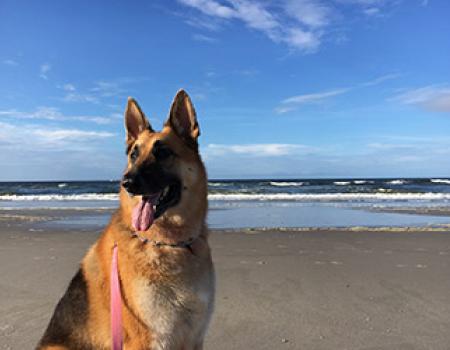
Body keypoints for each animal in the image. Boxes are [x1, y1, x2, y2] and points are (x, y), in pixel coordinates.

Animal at [36, 91, 215, 350]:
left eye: (163, 153)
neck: (170, 244)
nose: (127, 183)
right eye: (134, 155)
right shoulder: (146, 340)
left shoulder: (193, 338)